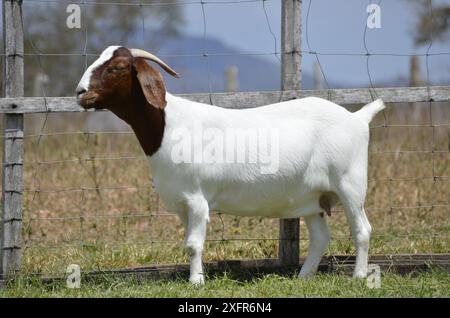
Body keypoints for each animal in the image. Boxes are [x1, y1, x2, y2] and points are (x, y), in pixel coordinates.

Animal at [75, 45, 384, 286]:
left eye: (117, 67)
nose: (80, 92)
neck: (170, 126)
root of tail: (358, 118)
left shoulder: (197, 199)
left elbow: (193, 244)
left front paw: (196, 282)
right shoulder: (181, 202)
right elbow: (189, 241)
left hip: (350, 184)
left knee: (362, 230)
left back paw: (358, 276)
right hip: (312, 197)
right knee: (321, 237)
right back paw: (303, 276)